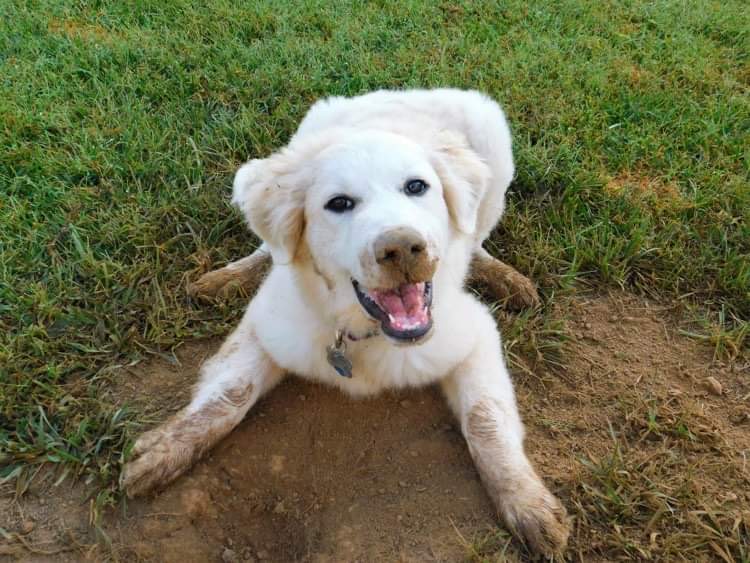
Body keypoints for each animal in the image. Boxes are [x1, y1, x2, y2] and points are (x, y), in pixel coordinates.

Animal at [122, 88, 568, 556]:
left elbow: (485, 418)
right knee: (269, 244)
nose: (402, 249)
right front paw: (166, 450)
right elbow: (231, 394)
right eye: (339, 204)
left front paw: (527, 503)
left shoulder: (476, 333)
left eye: (416, 187)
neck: (363, 333)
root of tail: (407, 91)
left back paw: (505, 277)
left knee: (476, 234)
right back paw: (228, 277)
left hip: (494, 161)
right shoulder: (267, 323)